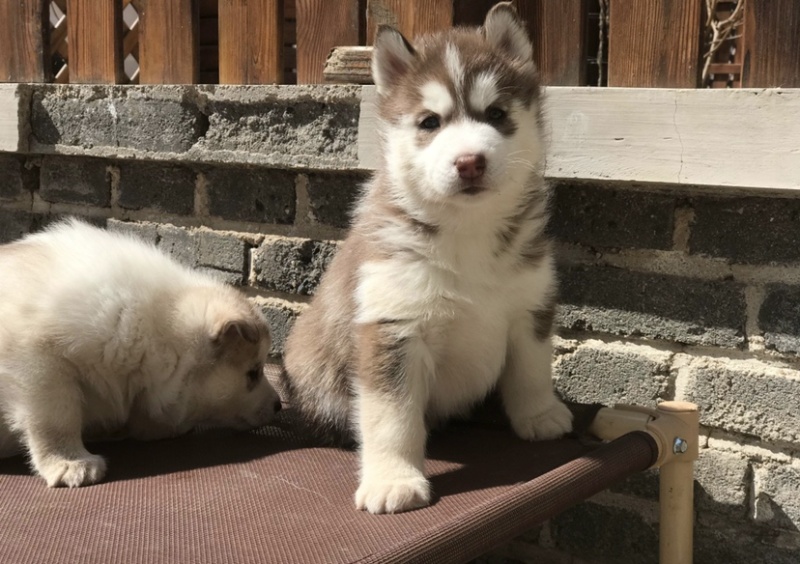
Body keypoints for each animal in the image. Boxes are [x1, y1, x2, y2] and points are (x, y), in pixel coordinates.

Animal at [282, 3, 568, 516]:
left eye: (496, 114)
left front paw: (539, 414)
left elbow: (532, 369)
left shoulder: (530, 304)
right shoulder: (392, 328)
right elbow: (391, 417)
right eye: (430, 122)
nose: (470, 162)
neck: (467, 231)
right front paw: (393, 479)